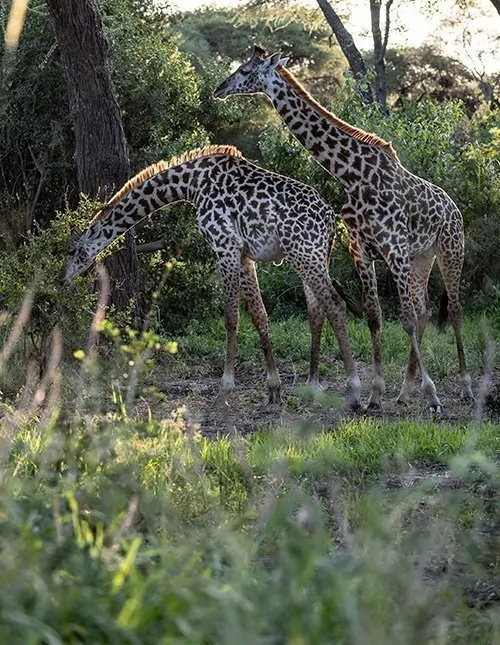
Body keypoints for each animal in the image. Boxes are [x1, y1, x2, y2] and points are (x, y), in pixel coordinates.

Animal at [63, 147, 364, 408]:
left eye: (73, 250)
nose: (64, 278)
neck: (190, 184)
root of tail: (330, 220)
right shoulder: (245, 255)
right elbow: (258, 314)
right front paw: (274, 389)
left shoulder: (225, 245)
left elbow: (231, 317)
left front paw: (225, 388)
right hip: (314, 257)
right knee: (316, 310)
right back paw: (313, 387)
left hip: (304, 255)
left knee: (335, 304)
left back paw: (355, 390)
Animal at [214, 45, 472, 410]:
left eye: (245, 70)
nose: (219, 88)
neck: (351, 176)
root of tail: (454, 208)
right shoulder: (361, 249)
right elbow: (375, 317)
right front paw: (376, 395)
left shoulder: (393, 248)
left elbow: (404, 319)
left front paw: (432, 395)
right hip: (422, 257)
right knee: (424, 310)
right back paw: (405, 391)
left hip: (449, 249)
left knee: (454, 310)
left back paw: (463, 387)